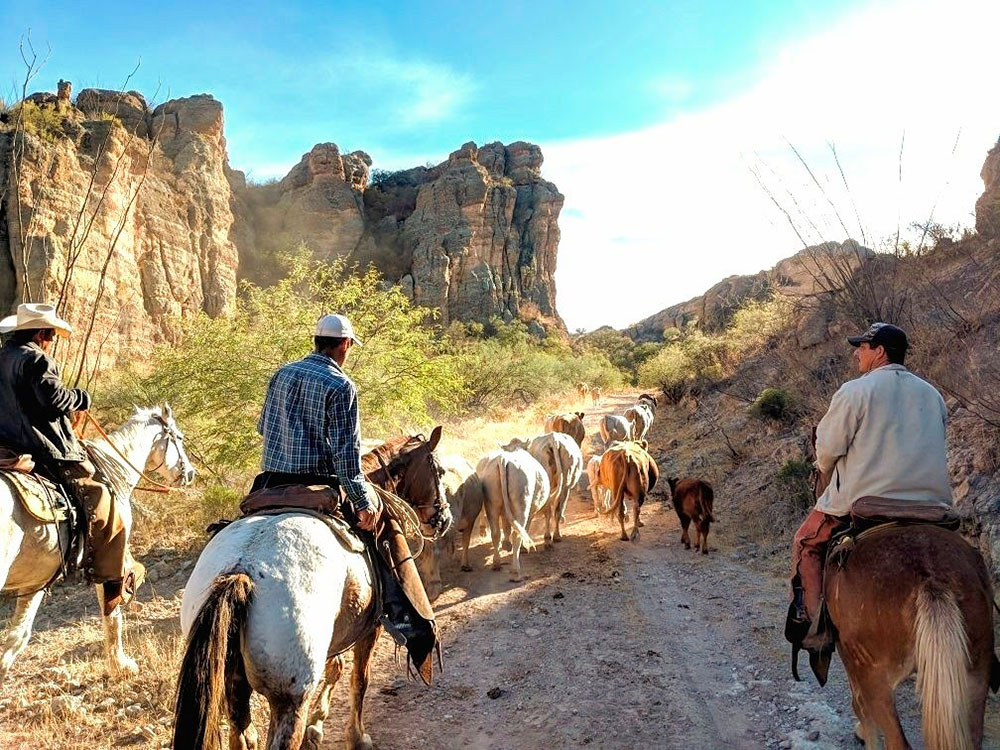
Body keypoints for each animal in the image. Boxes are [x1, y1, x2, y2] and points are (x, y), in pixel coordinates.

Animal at [0, 408, 195, 684]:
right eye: (179, 437)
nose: (190, 473)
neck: (114, 472)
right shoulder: (110, 558)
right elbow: (112, 613)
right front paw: (120, 666)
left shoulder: (35, 580)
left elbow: (18, 635)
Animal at [175, 426, 450, 750]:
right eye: (439, 471)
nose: (444, 519)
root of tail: (241, 571)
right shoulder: (370, 628)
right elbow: (360, 678)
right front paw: (355, 736)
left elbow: (336, 668)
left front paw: (317, 725)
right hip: (289, 700)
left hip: (234, 688)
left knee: (241, 734)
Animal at [474, 446, 548, 580]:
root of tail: (503, 459)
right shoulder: (531, 511)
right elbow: (524, 528)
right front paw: (523, 547)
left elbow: (506, 526)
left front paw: (506, 544)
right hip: (521, 501)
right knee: (517, 534)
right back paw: (515, 570)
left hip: (491, 501)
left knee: (495, 533)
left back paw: (496, 563)